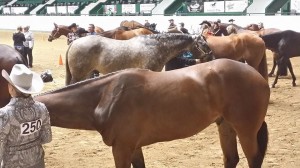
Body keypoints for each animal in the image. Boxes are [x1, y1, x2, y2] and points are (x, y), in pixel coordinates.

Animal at [34, 58, 270, 167]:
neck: (106, 95)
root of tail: (256, 75)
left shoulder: (122, 148)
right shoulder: (133, 147)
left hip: (245, 131)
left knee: (253, 158)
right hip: (226, 126)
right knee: (231, 158)